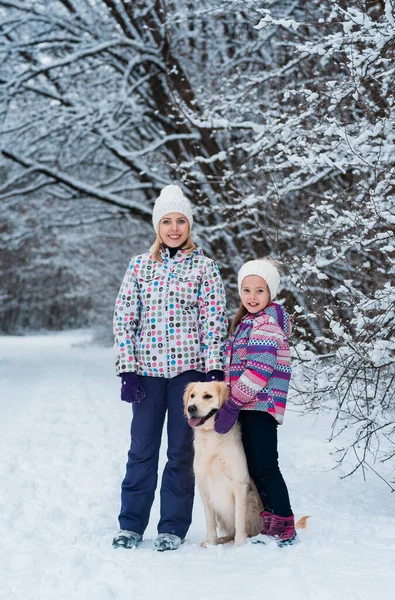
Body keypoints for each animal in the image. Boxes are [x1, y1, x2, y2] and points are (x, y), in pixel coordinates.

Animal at [184, 382, 264, 548]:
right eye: (192, 396)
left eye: (208, 396)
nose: (191, 408)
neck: (211, 435)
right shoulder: (204, 486)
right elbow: (209, 521)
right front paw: (211, 544)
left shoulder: (239, 484)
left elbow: (239, 519)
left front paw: (239, 546)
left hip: (252, 499)